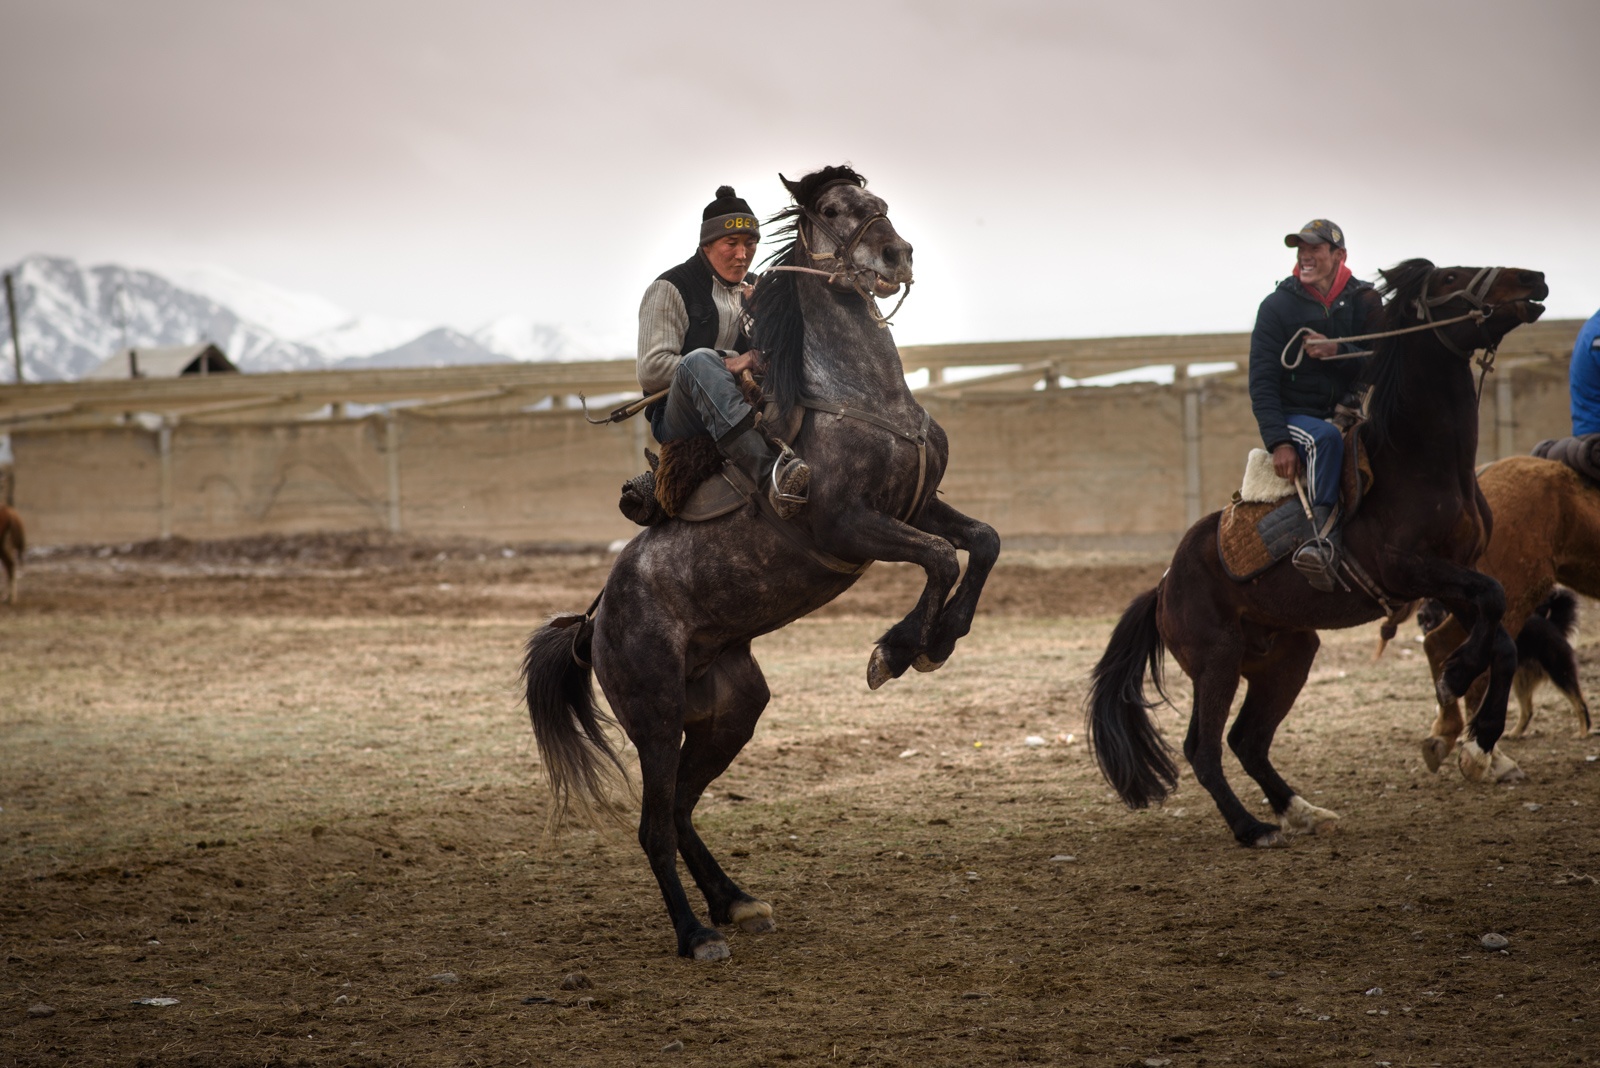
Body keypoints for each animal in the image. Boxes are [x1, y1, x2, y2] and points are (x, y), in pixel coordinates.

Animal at [524, 164, 998, 959]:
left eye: (882, 204)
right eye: (835, 209)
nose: (897, 255)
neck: (855, 394)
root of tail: (595, 621)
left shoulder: (916, 506)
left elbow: (982, 543)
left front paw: (939, 643)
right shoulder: (849, 525)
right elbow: (939, 560)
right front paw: (898, 652)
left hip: (731, 712)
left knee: (681, 810)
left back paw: (736, 901)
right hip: (655, 719)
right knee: (653, 826)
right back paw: (695, 934)